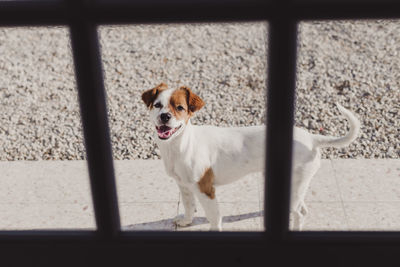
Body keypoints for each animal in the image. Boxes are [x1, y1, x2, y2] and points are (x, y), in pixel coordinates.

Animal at [141, 82, 360, 231]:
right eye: (157, 105)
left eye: (180, 108)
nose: (165, 117)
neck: (181, 145)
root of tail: (311, 138)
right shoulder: (185, 187)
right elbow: (189, 206)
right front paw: (186, 221)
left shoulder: (206, 189)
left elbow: (214, 216)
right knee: (302, 208)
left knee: (299, 213)